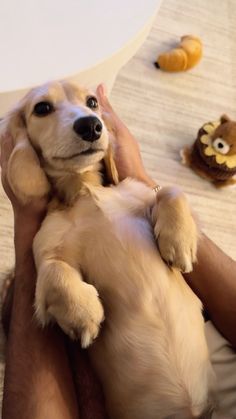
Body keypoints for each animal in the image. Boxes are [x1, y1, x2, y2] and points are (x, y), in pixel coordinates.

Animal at [0, 82, 214, 419]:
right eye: (42, 108)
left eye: (92, 102)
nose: (90, 125)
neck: (85, 191)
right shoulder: (47, 248)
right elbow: (54, 271)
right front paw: (83, 315)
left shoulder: (140, 192)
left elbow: (169, 190)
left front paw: (179, 243)